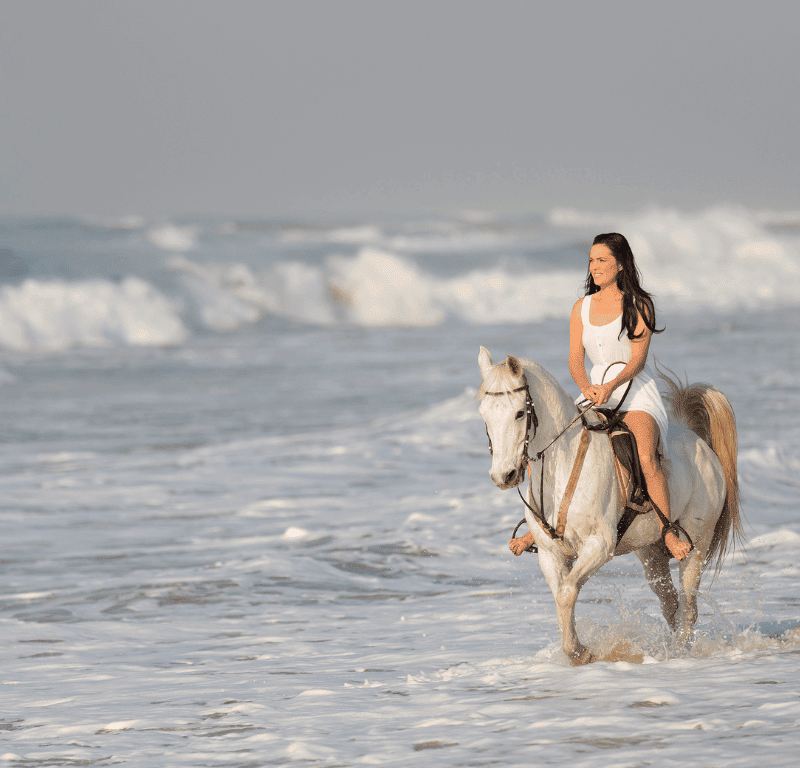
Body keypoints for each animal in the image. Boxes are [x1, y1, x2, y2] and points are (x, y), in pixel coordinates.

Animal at [476, 344, 744, 664]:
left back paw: (679, 652)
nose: (503, 476)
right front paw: (575, 651)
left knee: (688, 607)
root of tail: (701, 445)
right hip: (650, 553)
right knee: (671, 603)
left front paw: (580, 653)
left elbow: (567, 592)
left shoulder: (599, 546)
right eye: (483, 414)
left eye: (519, 413)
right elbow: (561, 596)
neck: (564, 462)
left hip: (697, 545)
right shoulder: (551, 553)